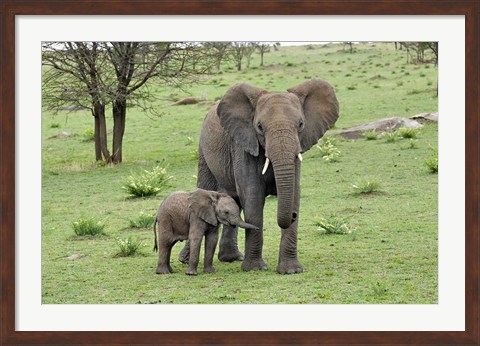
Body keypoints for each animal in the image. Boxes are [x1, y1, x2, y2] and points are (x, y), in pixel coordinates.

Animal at [178, 78, 340, 274]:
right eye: (260, 127)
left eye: (301, 124)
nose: (293, 216)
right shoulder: (244, 145)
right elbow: (253, 197)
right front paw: (255, 268)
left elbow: (294, 193)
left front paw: (291, 271)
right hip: (203, 151)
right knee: (207, 188)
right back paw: (186, 260)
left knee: (234, 200)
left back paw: (231, 258)